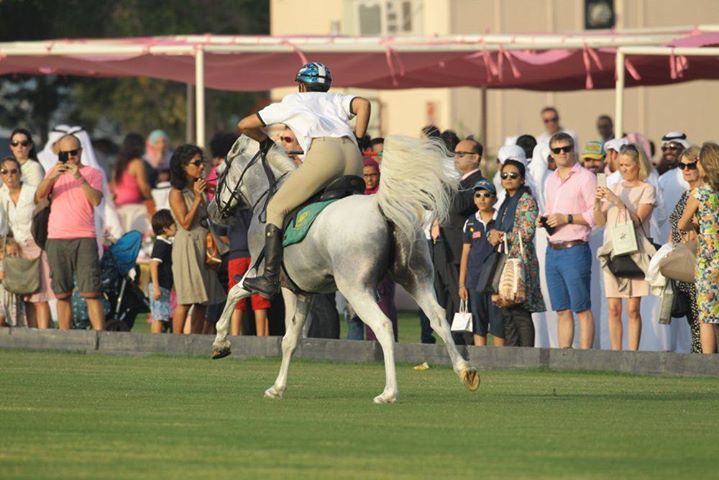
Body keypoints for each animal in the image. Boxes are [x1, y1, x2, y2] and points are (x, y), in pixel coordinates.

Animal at [208, 133, 478, 404]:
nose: (212, 212)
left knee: (383, 325)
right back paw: (465, 370)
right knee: (438, 318)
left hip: (355, 290)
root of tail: (382, 206)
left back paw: (389, 392)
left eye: (221, 172)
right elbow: (291, 339)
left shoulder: (266, 277)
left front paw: (221, 343)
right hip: (417, 279)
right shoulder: (304, 290)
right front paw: (278, 387)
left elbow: (236, 294)